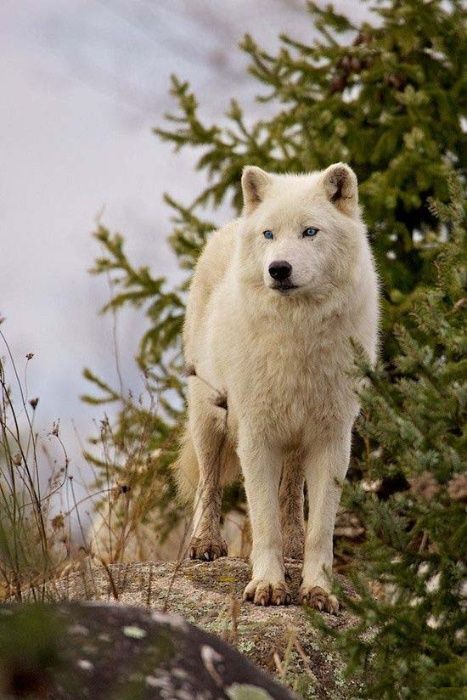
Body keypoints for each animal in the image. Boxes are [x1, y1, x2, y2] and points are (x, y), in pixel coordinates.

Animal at [176, 161, 380, 608]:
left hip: (296, 441)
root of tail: (232, 225)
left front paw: (318, 590)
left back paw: (294, 546)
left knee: (290, 496)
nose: (279, 269)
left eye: (310, 232)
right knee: (207, 484)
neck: (297, 336)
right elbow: (263, 523)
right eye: (269, 235)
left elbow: (321, 529)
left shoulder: (332, 439)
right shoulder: (256, 436)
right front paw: (268, 585)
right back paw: (205, 543)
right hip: (209, 418)